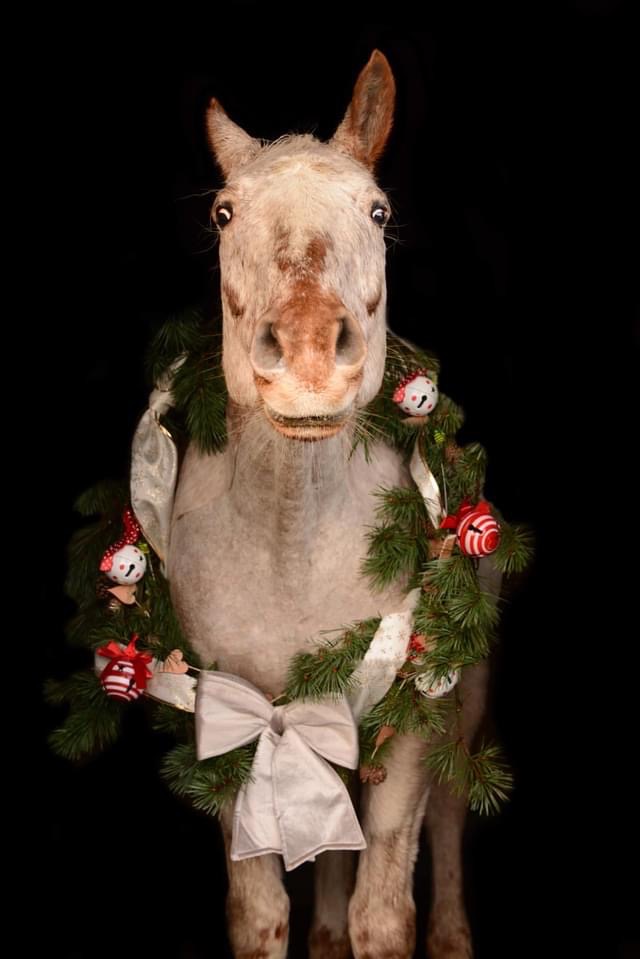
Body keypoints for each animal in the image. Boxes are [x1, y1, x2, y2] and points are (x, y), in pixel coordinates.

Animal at [168, 50, 488, 959]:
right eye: (224, 212)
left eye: (378, 211)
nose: (310, 356)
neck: (292, 546)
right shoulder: (224, 722)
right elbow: (261, 913)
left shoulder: (412, 716)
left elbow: (384, 913)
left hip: (462, 702)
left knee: (450, 814)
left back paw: (454, 933)